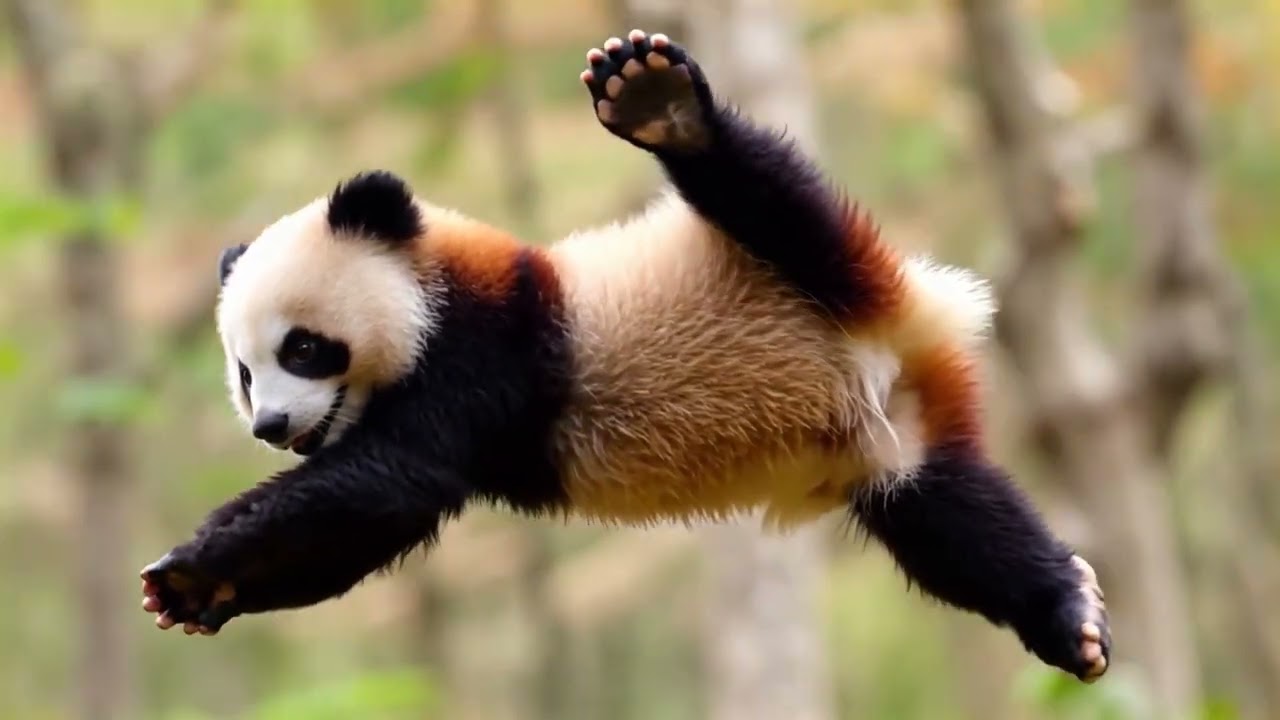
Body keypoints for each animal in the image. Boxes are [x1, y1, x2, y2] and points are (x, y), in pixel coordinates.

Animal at [140, 29, 1110, 683]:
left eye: (304, 347)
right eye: (243, 373)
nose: (271, 426)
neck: (432, 283)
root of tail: (909, 328)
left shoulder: (487, 343)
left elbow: (391, 476)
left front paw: (194, 564)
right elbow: (363, 520)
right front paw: (206, 589)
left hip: (807, 265)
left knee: (764, 191)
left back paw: (661, 107)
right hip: (894, 447)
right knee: (958, 525)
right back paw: (1067, 615)